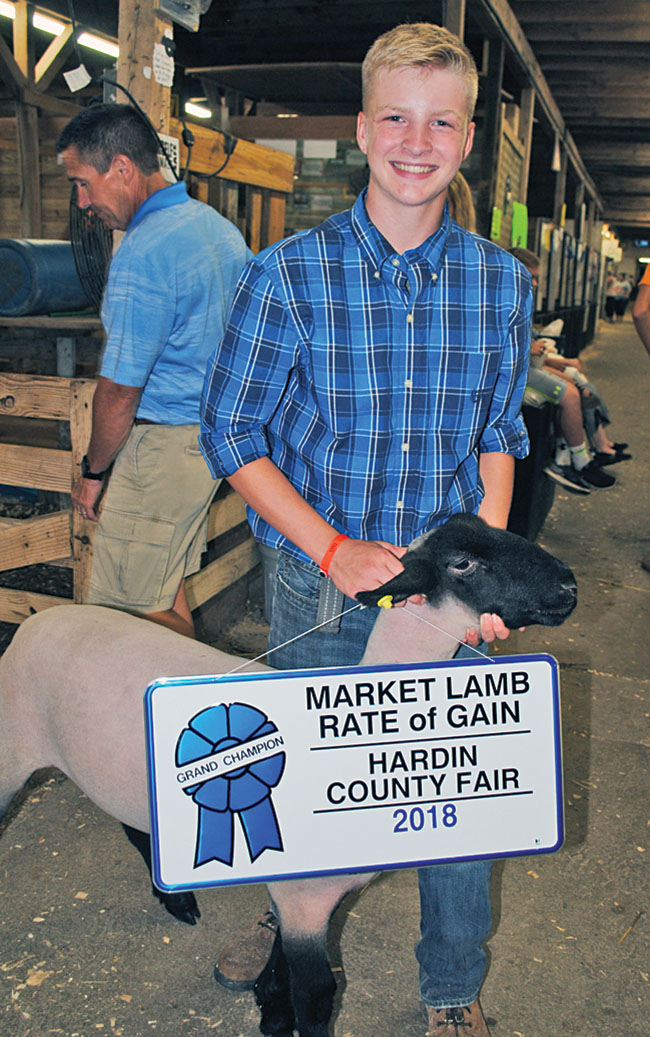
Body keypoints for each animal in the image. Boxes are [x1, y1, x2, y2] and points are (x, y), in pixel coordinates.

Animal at [0, 513, 577, 1037]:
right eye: (463, 564)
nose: (569, 587)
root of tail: (37, 619)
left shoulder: (302, 896)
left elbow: (279, 968)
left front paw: (272, 1015)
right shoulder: (303, 900)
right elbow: (318, 995)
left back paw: (177, 901)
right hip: (13, 753)